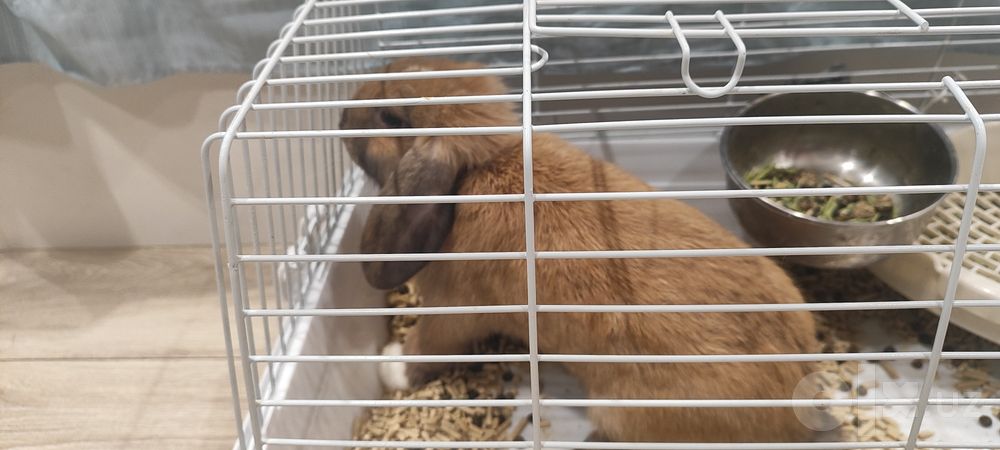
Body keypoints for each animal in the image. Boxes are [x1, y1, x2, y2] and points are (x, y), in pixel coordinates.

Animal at [339, 57, 821, 444]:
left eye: (391, 116)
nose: (343, 115)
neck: (480, 171)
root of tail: (798, 397)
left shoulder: (455, 310)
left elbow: (426, 345)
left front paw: (390, 365)